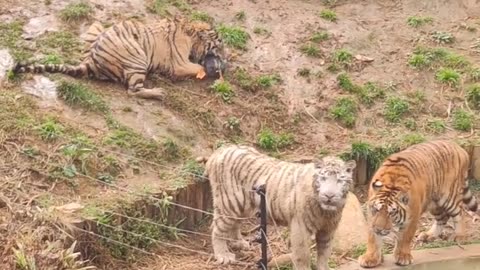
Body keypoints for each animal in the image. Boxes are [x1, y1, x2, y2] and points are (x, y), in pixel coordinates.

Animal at [12, 14, 226, 100]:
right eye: (220, 43)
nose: (227, 57)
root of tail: (90, 62)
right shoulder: (179, 64)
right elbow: (198, 67)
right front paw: (214, 74)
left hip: (96, 27)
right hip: (138, 59)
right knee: (133, 91)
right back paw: (158, 93)